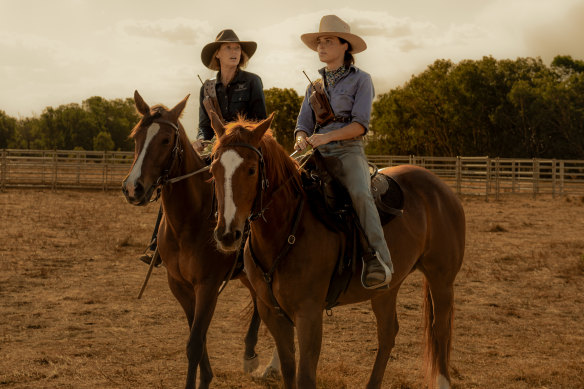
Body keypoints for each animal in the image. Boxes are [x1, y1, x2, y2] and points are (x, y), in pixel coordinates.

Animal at [122, 91, 266, 388]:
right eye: (136, 136)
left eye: (166, 140)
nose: (132, 188)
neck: (189, 221)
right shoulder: (180, 285)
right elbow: (195, 334)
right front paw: (206, 376)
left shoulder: (208, 286)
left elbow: (195, 344)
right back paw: (250, 353)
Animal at [209, 114, 466, 388]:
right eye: (214, 170)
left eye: (251, 169)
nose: (227, 234)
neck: (288, 227)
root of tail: (440, 186)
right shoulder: (272, 312)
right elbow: (288, 370)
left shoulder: (309, 314)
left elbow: (305, 376)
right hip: (386, 289)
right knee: (388, 333)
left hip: (441, 280)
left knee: (440, 330)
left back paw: (442, 381)